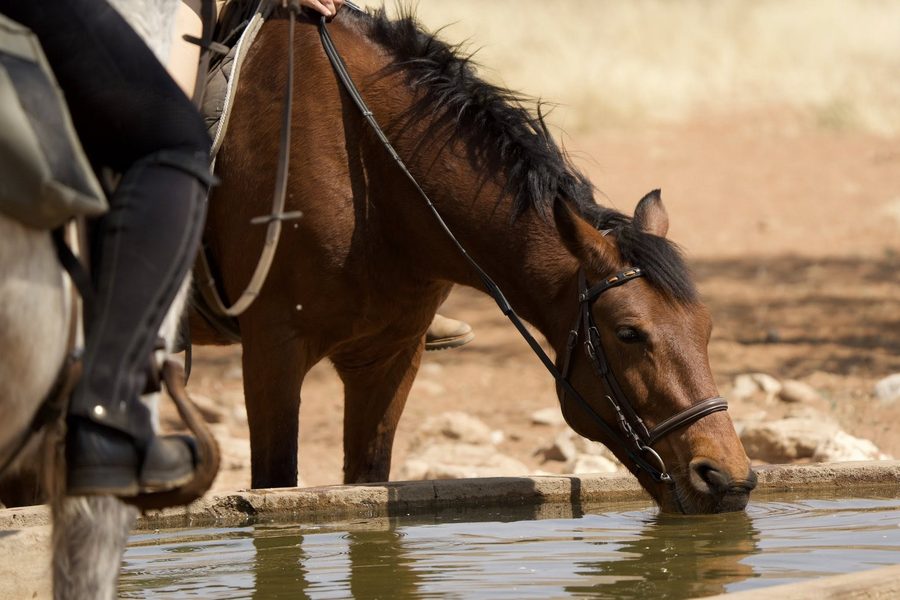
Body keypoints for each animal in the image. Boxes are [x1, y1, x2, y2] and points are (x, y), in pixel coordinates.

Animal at [194, 5, 756, 514]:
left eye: (706, 329)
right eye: (629, 334)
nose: (727, 478)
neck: (371, 178)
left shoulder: (389, 356)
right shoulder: (273, 352)